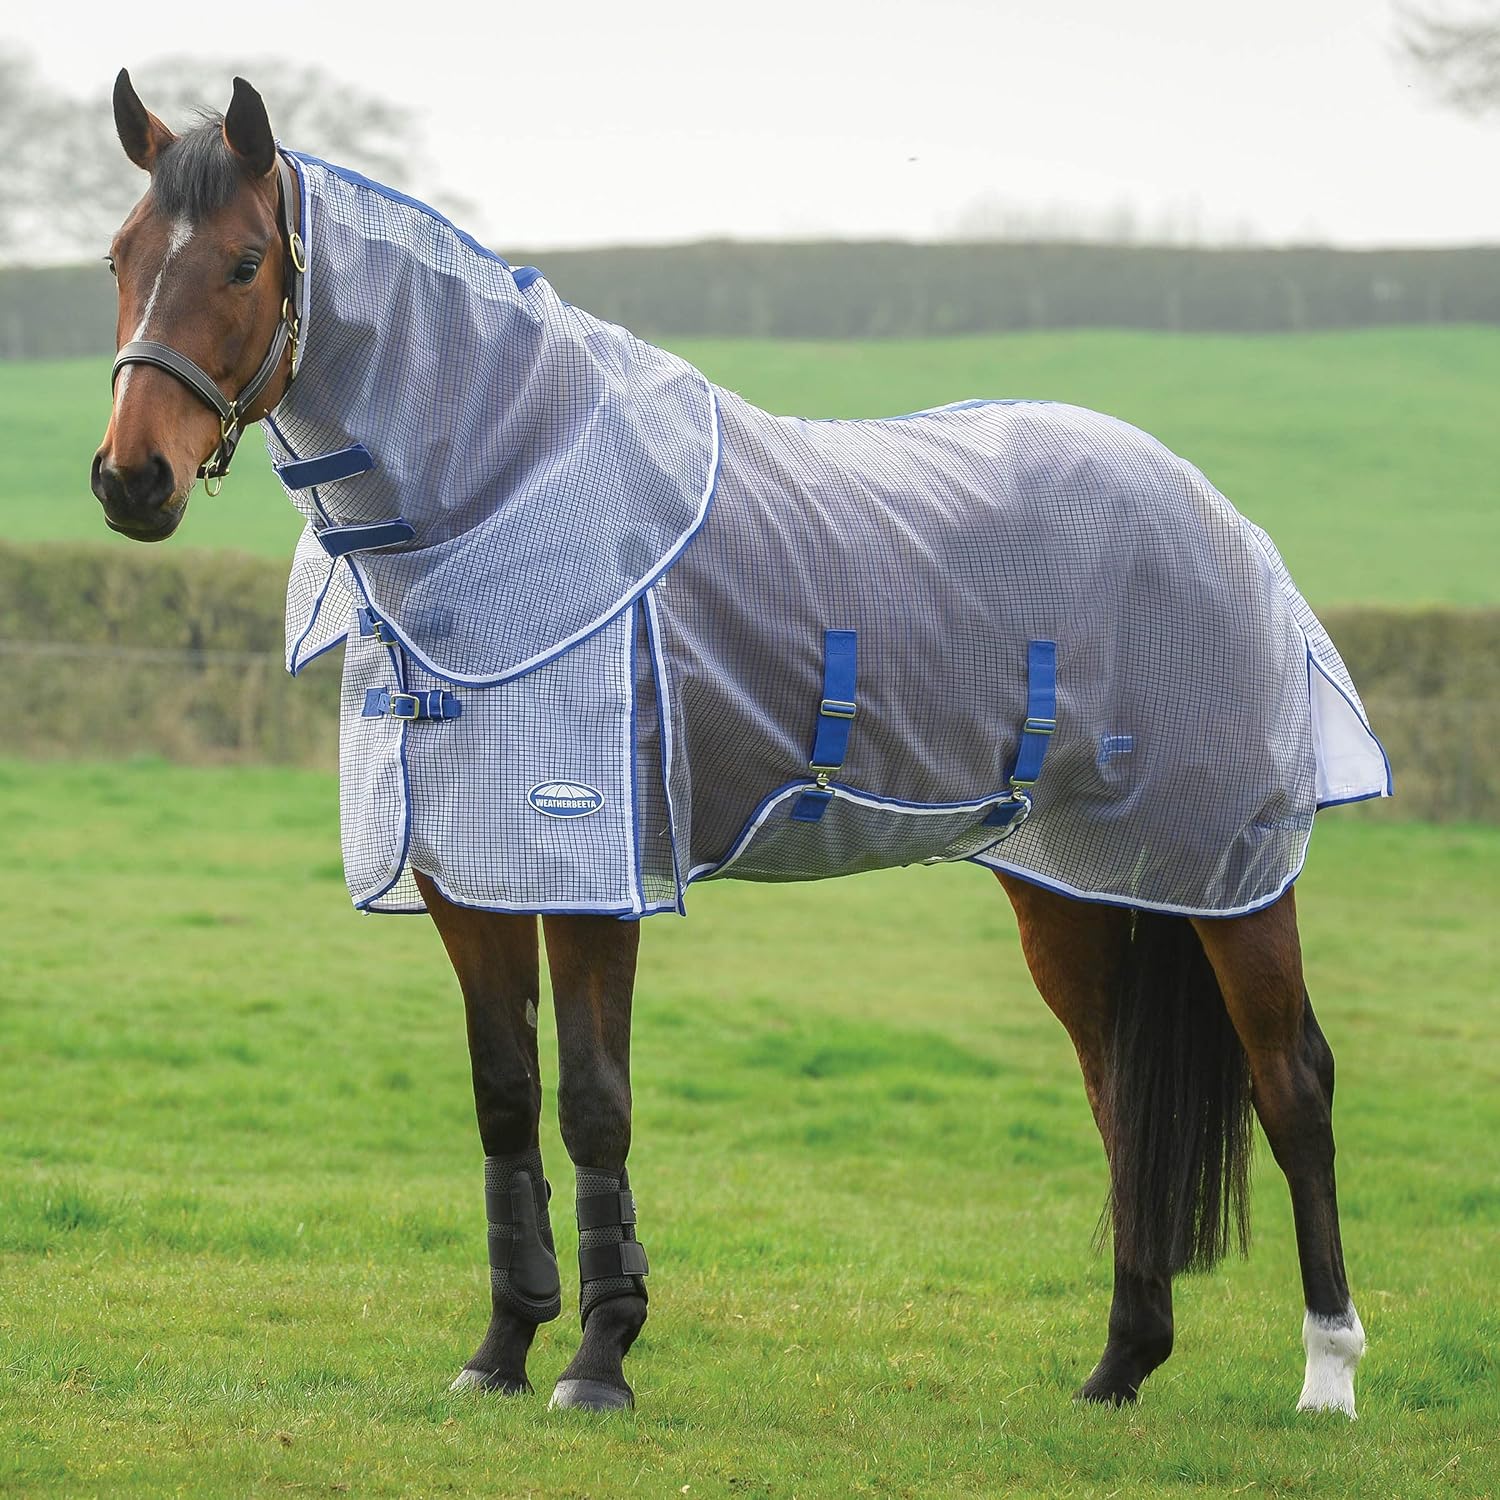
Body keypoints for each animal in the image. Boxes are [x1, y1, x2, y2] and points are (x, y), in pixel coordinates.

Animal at [92, 71, 1385, 1418]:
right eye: (120, 256)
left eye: (245, 261)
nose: (131, 479)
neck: (502, 501)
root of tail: (1215, 512)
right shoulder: (470, 878)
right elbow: (506, 1103)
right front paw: (500, 1352)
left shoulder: (598, 879)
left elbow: (593, 1107)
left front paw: (599, 1363)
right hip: (1074, 887)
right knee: (1121, 1094)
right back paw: (1120, 1366)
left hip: (1230, 874)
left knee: (1293, 1083)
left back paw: (1327, 1378)